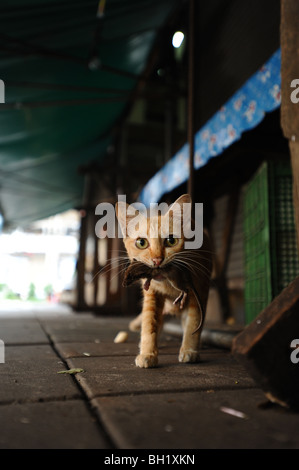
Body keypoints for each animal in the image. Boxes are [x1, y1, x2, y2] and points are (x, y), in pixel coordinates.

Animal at [116, 195, 213, 368]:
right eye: (141, 243)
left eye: (171, 241)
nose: (157, 260)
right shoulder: (152, 294)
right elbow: (149, 323)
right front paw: (148, 353)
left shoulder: (199, 292)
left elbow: (193, 322)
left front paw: (189, 350)